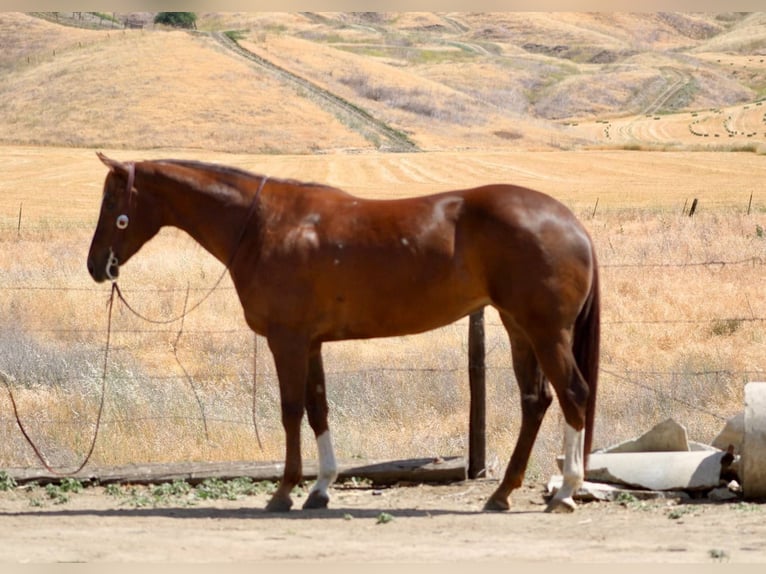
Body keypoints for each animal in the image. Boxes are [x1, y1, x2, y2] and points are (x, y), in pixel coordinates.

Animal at [87, 152, 600, 513]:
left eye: (112, 202)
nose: (95, 266)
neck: (264, 226)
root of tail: (571, 221)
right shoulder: (310, 343)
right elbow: (318, 409)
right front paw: (321, 488)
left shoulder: (287, 341)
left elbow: (291, 411)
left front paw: (284, 491)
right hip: (519, 328)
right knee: (536, 402)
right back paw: (503, 493)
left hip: (545, 331)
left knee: (574, 394)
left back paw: (565, 493)